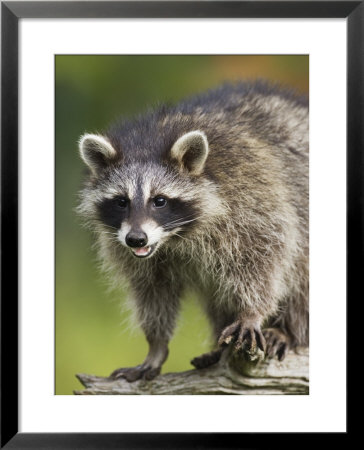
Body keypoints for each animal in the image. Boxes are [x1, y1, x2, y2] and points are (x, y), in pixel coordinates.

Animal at [78, 82, 308, 382]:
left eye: (159, 200)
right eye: (121, 202)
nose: (136, 239)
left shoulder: (252, 198)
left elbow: (266, 257)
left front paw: (251, 312)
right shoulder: (129, 249)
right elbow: (152, 291)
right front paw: (156, 344)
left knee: (300, 274)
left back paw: (290, 331)